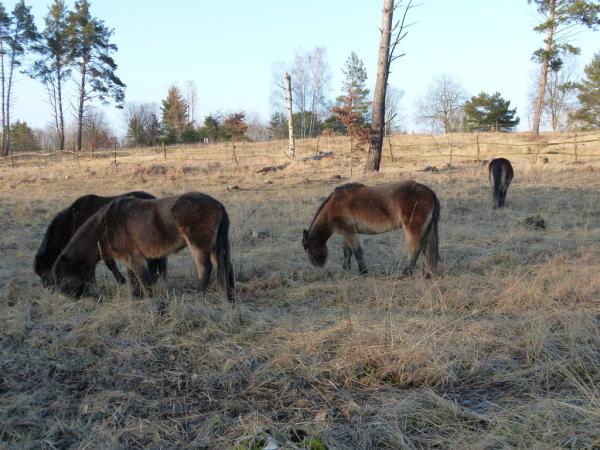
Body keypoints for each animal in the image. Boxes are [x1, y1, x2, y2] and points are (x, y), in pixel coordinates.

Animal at [53, 191, 234, 300]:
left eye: (63, 280)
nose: (68, 298)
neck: (103, 227)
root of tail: (217, 204)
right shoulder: (130, 260)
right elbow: (134, 279)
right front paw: (136, 296)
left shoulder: (133, 258)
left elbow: (143, 279)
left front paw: (150, 299)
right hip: (214, 248)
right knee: (224, 266)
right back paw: (226, 294)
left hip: (199, 246)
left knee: (205, 268)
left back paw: (197, 293)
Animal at [302, 181, 438, 276]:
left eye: (308, 248)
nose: (317, 266)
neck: (333, 205)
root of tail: (429, 191)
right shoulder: (347, 232)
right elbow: (347, 251)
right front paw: (346, 268)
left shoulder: (350, 233)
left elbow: (357, 251)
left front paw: (363, 271)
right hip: (424, 230)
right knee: (427, 249)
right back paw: (427, 274)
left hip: (412, 229)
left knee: (414, 249)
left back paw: (406, 273)